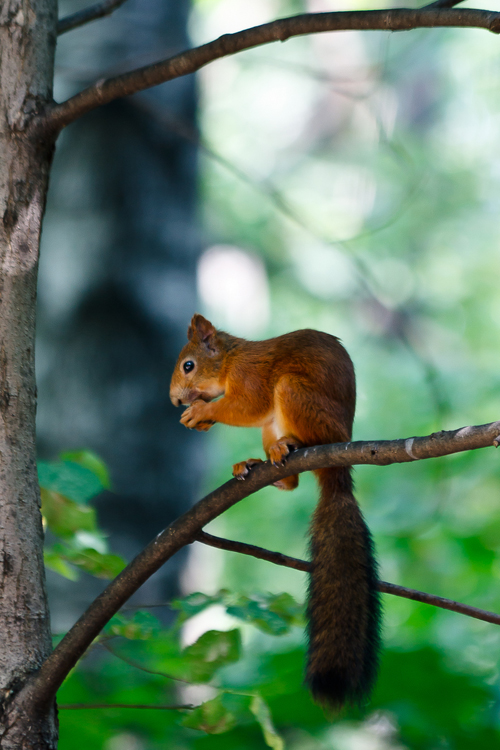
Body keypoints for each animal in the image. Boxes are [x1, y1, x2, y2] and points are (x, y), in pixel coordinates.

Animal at [170, 312, 380, 712]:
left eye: (188, 365)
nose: (174, 401)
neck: (230, 361)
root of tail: (338, 472)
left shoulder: (251, 377)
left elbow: (248, 405)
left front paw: (202, 411)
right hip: (272, 426)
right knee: (292, 481)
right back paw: (259, 464)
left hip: (297, 394)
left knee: (305, 431)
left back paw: (292, 444)